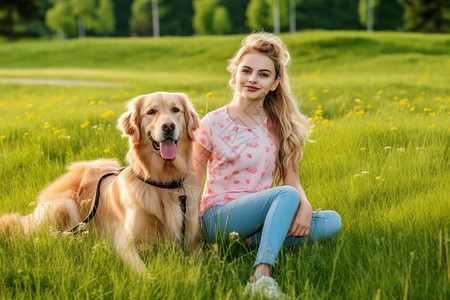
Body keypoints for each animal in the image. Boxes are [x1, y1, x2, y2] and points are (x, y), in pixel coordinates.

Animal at [0, 92, 200, 274]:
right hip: (64, 205)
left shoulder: (192, 239)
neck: (163, 182)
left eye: (176, 110)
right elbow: (143, 272)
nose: (168, 126)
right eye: (151, 111)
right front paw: (151, 281)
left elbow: (196, 269)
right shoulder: (125, 242)